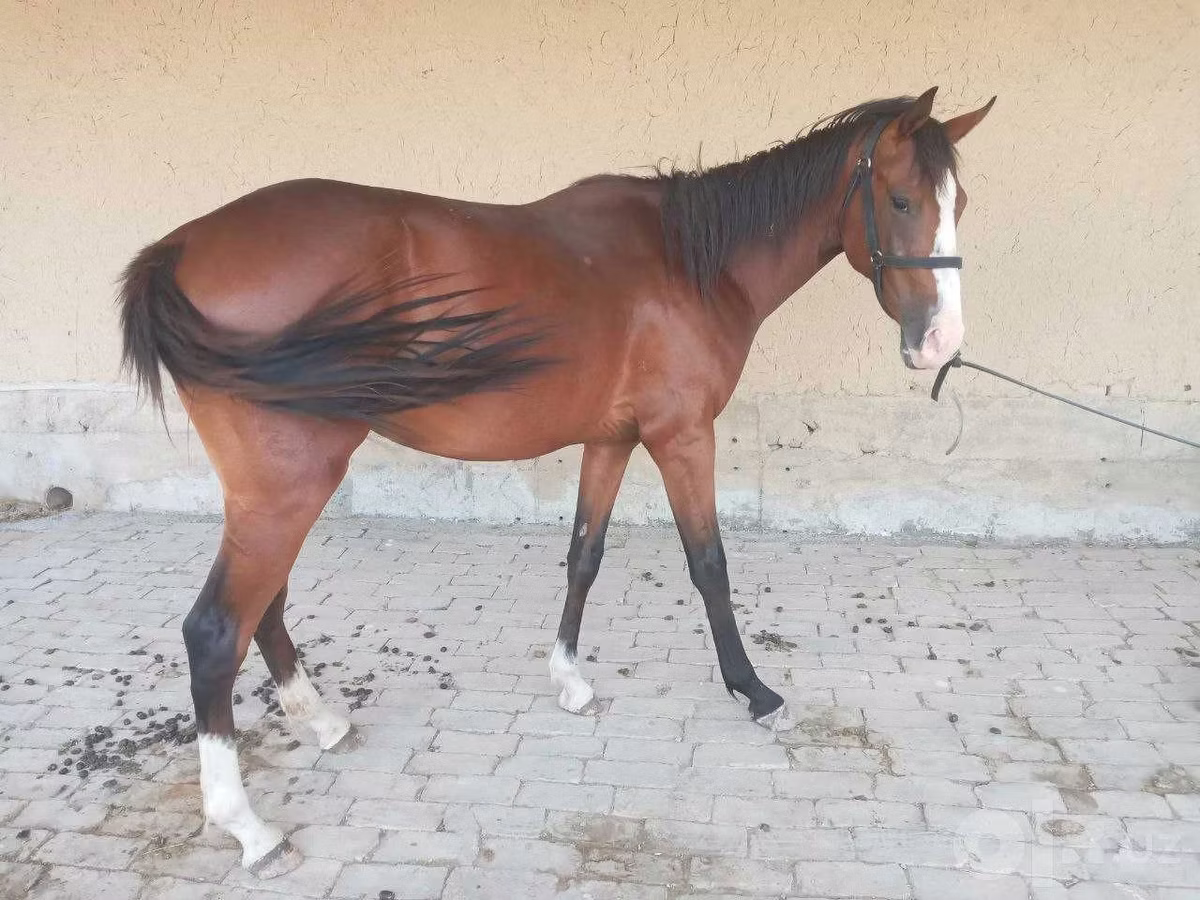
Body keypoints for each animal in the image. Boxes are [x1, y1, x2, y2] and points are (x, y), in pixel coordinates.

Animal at [118, 86, 994, 876]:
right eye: (902, 199)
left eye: (959, 202)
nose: (942, 342)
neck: (689, 260)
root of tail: (180, 249)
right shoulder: (682, 438)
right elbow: (709, 565)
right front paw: (753, 690)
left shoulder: (612, 440)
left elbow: (585, 554)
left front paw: (570, 678)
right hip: (288, 486)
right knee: (216, 631)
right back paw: (247, 826)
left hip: (276, 492)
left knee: (264, 607)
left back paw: (322, 722)